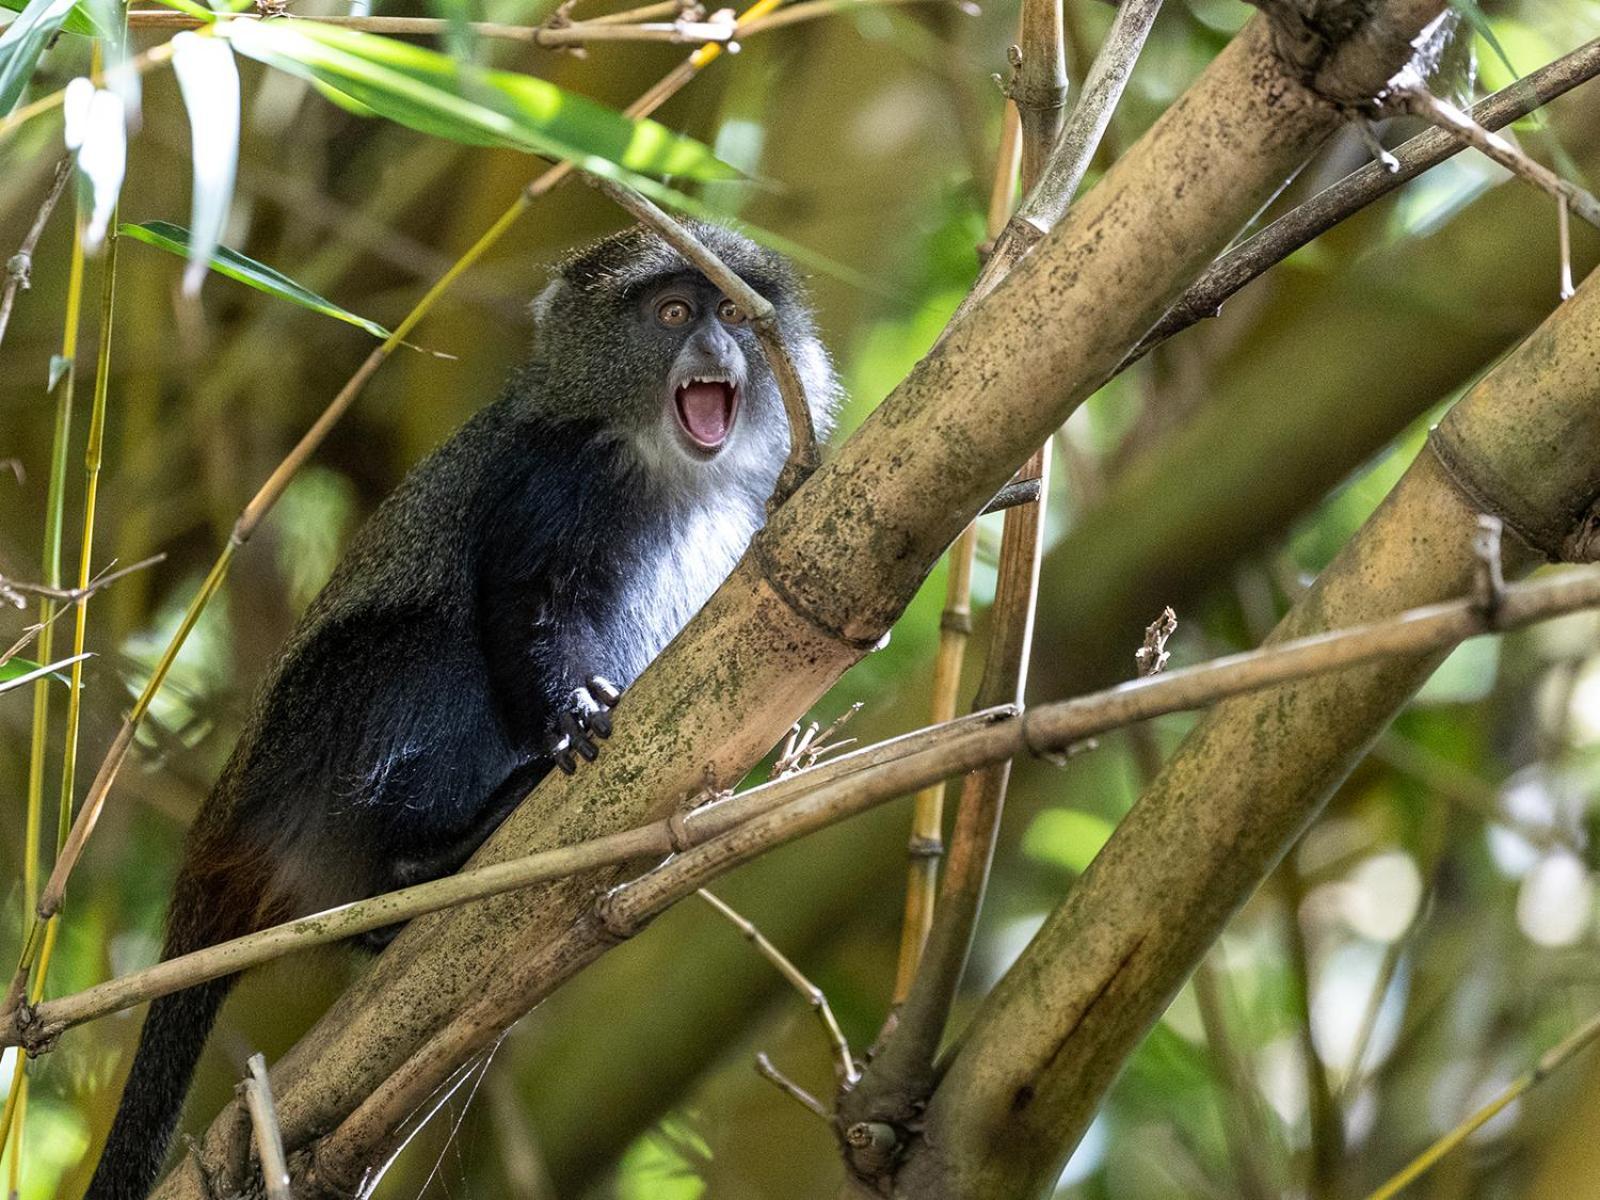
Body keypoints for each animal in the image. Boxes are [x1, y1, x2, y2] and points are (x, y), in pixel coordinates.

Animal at [84, 220, 838, 1196]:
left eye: (734, 314)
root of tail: (216, 844)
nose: (715, 346)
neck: (657, 461)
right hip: (307, 755)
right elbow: (525, 607)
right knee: (426, 649)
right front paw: (571, 709)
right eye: (674, 312)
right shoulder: (551, 480)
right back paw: (427, 855)